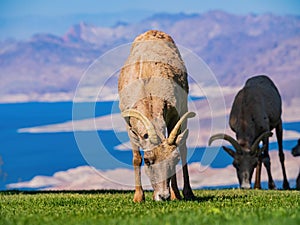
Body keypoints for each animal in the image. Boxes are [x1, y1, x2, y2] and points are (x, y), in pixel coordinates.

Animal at [118, 30, 196, 202]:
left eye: (174, 160)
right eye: (148, 161)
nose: (163, 196)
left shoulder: (174, 117)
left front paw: (175, 195)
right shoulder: (130, 127)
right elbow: (136, 158)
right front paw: (138, 197)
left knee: (184, 148)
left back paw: (187, 193)